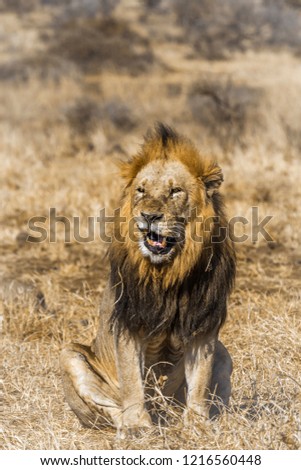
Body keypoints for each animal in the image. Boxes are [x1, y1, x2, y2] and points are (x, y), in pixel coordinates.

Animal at [60, 123, 234, 436]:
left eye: (175, 191)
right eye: (141, 190)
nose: (149, 215)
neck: (168, 273)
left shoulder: (203, 327)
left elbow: (200, 381)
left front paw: (198, 424)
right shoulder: (128, 323)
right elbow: (132, 381)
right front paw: (137, 425)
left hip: (225, 353)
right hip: (68, 354)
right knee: (110, 409)